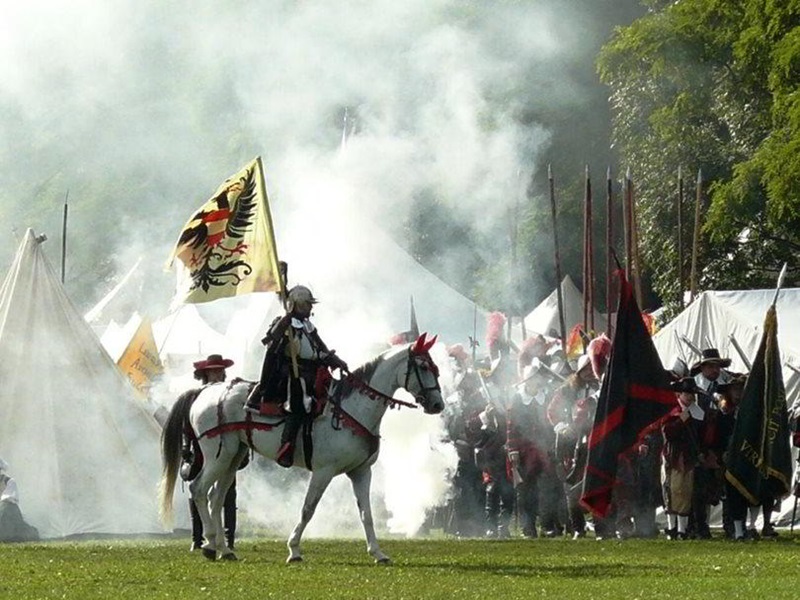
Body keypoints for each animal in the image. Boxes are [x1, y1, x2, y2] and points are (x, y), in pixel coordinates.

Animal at [156, 332, 444, 564]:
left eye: (435, 367)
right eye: (422, 366)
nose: (437, 404)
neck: (351, 409)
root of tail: (205, 391)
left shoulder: (361, 472)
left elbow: (366, 514)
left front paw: (378, 553)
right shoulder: (323, 472)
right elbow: (308, 509)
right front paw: (294, 550)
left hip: (233, 457)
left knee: (216, 497)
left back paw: (224, 550)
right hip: (217, 457)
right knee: (198, 489)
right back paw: (208, 545)